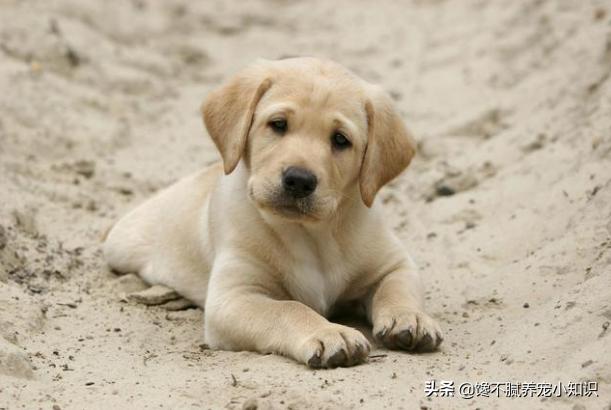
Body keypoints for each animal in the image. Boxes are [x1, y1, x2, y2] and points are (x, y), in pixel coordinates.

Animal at [103, 56, 442, 368]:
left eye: (340, 140)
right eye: (278, 124)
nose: (299, 180)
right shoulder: (235, 297)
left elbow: (397, 288)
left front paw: (410, 318)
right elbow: (289, 308)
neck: (312, 235)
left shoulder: (394, 264)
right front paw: (330, 333)